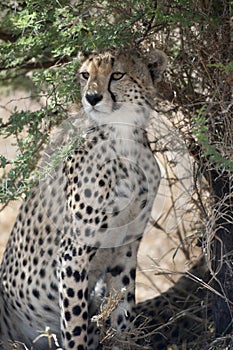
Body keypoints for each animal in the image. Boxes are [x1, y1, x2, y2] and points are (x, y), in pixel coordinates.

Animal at [0, 47, 167, 348]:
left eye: (117, 74)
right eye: (85, 75)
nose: (91, 97)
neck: (123, 137)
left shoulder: (126, 248)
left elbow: (123, 310)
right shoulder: (72, 254)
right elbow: (75, 324)